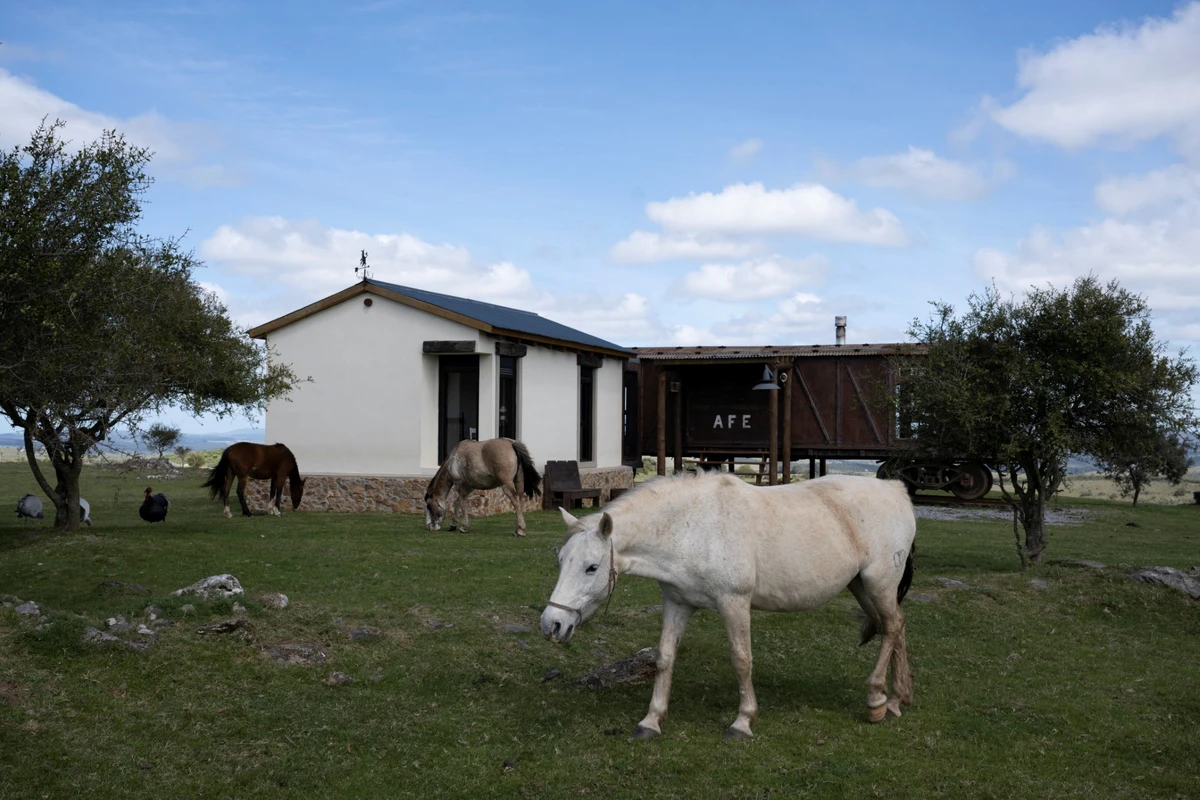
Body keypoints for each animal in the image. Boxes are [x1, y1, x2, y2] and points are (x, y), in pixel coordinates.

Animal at [541, 472, 916, 741]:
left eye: (591, 567)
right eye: (560, 561)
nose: (551, 624)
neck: (692, 529)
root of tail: (896, 490)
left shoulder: (733, 603)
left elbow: (741, 660)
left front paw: (742, 722)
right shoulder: (676, 603)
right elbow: (664, 658)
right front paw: (651, 720)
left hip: (879, 583)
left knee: (891, 628)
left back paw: (876, 701)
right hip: (863, 587)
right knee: (896, 626)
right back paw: (897, 699)